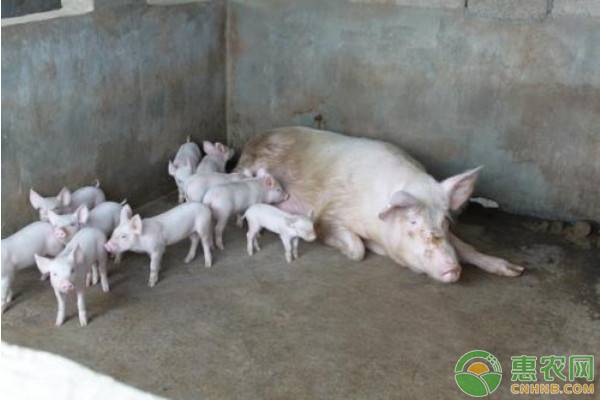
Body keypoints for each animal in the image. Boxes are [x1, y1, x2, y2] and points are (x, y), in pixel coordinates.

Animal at [236, 126, 524, 282]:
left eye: (444, 221)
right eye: (413, 221)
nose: (452, 269)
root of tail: (252, 141)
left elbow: (464, 246)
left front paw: (515, 270)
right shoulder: (330, 214)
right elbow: (357, 249)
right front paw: (369, 247)